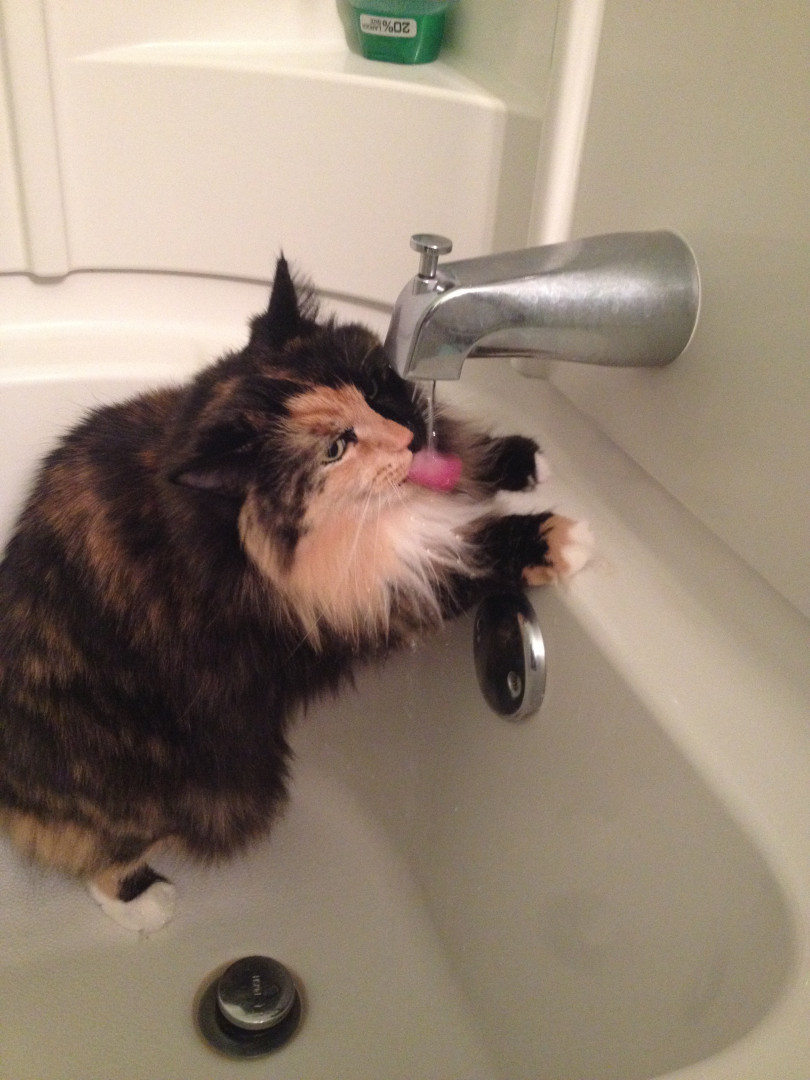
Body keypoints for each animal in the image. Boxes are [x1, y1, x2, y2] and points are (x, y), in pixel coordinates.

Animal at [0, 257, 592, 932]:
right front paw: (562, 539)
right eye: (335, 447)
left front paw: (524, 462)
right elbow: (478, 552)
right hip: (212, 790)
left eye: (372, 382)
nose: (410, 437)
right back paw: (147, 904)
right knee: (100, 856)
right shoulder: (383, 597)